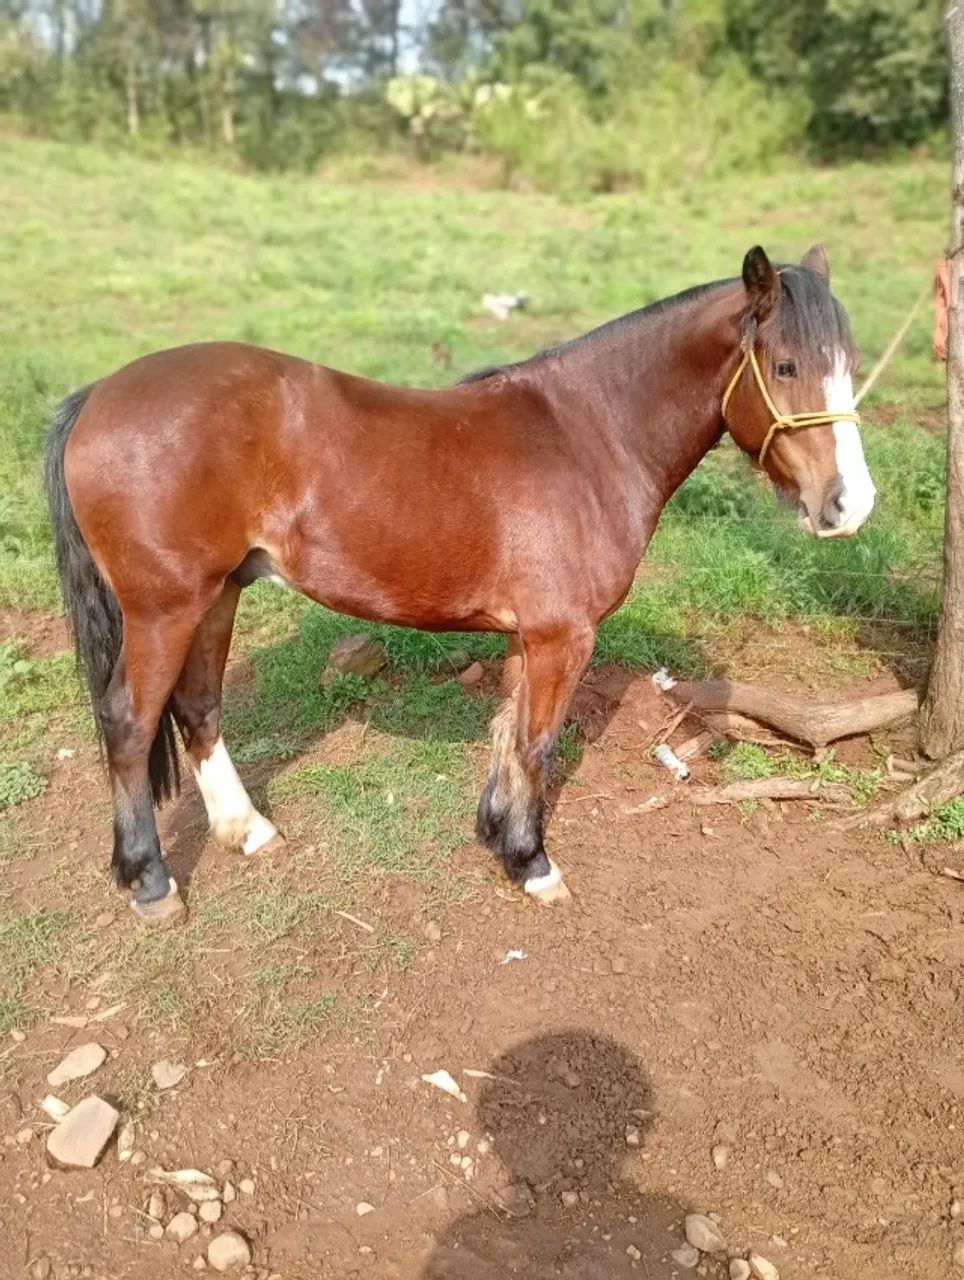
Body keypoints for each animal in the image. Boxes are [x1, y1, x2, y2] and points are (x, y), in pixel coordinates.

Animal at [43, 244, 875, 925]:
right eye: (786, 366)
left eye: (849, 367)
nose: (851, 505)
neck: (587, 437)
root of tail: (98, 394)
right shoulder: (563, 636)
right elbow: (538, 743)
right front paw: (532, 864)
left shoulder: (528, 635)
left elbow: (509, 732)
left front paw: (498, 836)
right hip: (165, 607)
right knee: (128, 722)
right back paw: (151, 882)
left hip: (217, 594)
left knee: (197, 706)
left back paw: (247, 831)